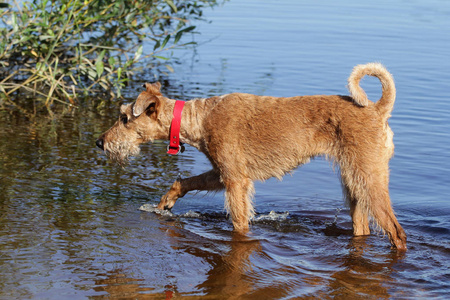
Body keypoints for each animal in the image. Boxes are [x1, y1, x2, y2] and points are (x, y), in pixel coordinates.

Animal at [96, 63, 408, 251]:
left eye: (124, 118)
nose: (99, 142)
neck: (199, 118)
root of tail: (377, 109)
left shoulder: (236, 181)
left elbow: (239, 222)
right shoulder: (222, 173)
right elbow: (184, 182)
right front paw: (165, 203)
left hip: (370, 179)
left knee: (397, 231)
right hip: (353, 185)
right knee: (363, 228)